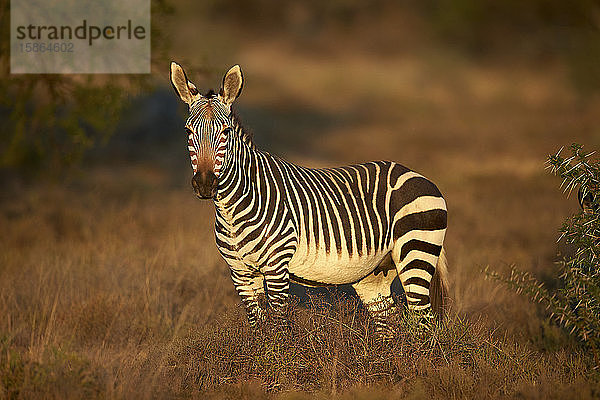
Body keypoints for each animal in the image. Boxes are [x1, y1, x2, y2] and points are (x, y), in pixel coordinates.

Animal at [171, 62, 448, 334]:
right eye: (187, 131)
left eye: (226, 131)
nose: (205, 184)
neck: (232, 209)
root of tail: (418, 175)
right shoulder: (240, 273)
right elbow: (258, 331)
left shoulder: (276, 267)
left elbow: (279, 330)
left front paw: (279, 348)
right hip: (375, 274)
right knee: (390, 325)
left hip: (416, 252)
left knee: (424, 325)